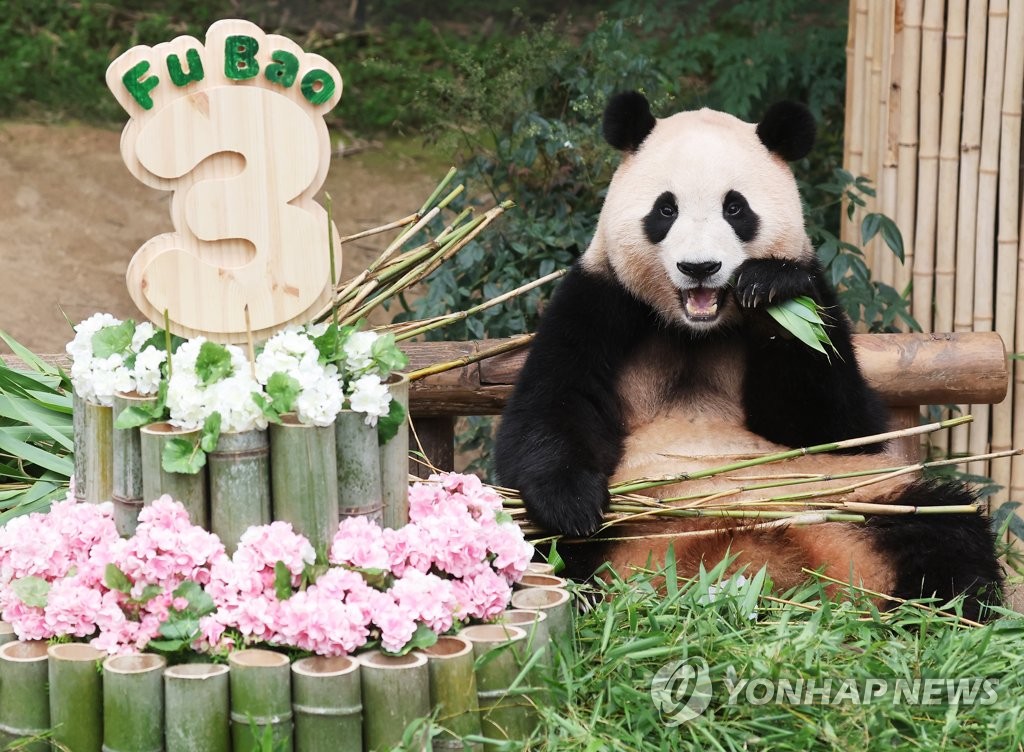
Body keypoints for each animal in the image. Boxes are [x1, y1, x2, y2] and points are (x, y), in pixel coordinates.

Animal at [491, 89, 1003, 618]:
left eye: (735, 208)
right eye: (665, 210)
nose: (699, 267)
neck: (696, 331)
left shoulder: (820, 305)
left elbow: (840, 426)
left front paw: (770, 290)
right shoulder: (599, 300)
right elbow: (551, 405)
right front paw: (573, 505)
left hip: (860, 500)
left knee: (946, 523)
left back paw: (947, 603)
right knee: (530, 539)